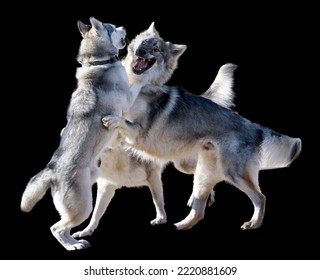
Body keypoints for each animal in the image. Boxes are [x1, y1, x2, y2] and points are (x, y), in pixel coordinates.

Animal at [20, 16, 144, 250]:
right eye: (112, 28)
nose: (124, 26)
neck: (98, 62)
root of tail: (51, 171)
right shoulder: (127, 98)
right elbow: (138, 83)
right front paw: (143, 76)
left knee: (64, 227)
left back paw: (76, 242)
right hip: (83, 206)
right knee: (56, 228)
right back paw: (71, 246)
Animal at [72, 23, 238, 240]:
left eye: (155, 49)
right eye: (142, 43)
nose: (141, 52)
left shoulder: (139, 137)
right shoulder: (108, 183)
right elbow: (95, 215)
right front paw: (85, 231)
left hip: (183, 165)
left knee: (207, 176)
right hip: (182, 164)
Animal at [104, 68, 302, 232]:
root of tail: (254, 127)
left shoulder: (138, 134)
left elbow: (124, 122)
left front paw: (113, 119)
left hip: (233, 173)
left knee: (260, 198)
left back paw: (253, 223)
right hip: (195, 169)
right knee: (200, 208)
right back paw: (183, 224)